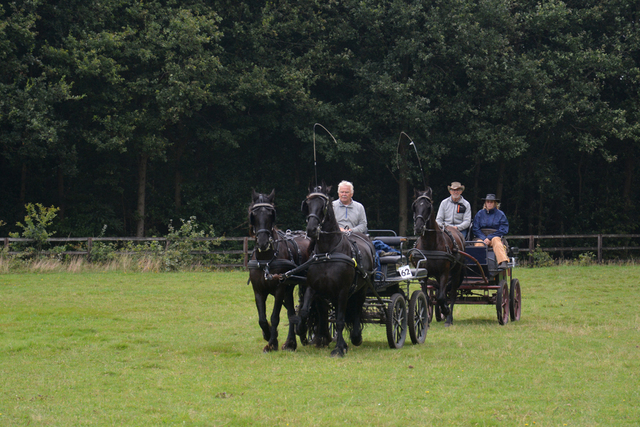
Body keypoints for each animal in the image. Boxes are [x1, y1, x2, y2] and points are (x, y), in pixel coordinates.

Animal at [248, 189, 310, 352]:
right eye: (253, 214)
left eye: (271, 214)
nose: (263, 243)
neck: (266, 259)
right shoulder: (258, 290)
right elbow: (262, 319)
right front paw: (269, 335)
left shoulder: (279, 289)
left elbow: (274, 317)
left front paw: (271, 343)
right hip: (289, 287)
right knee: (291, 311)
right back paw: (291, 343)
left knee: (304, 306)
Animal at [300, 184, 376, 358]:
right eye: (308, 205)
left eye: (323, 206)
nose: (311, 229)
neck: (328, 252)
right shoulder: (312, 287)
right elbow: (304, 312)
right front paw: (301, 330)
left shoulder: (342, 290)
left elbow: (340, 320)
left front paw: (339, 349)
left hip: (362, 289)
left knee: (357, 309)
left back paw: (355, 337)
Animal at [410, 189, 464, 326]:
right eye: (415, 206)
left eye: (428, 207)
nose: (418, 227)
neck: (430, 245)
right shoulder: (423, 274)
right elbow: (426, 297)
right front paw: (425, 320)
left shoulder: (445, 272)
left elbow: (441, 297)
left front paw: (446, 311)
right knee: (441, 291)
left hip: (456, 272)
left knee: (452, 294)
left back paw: (449, 318)